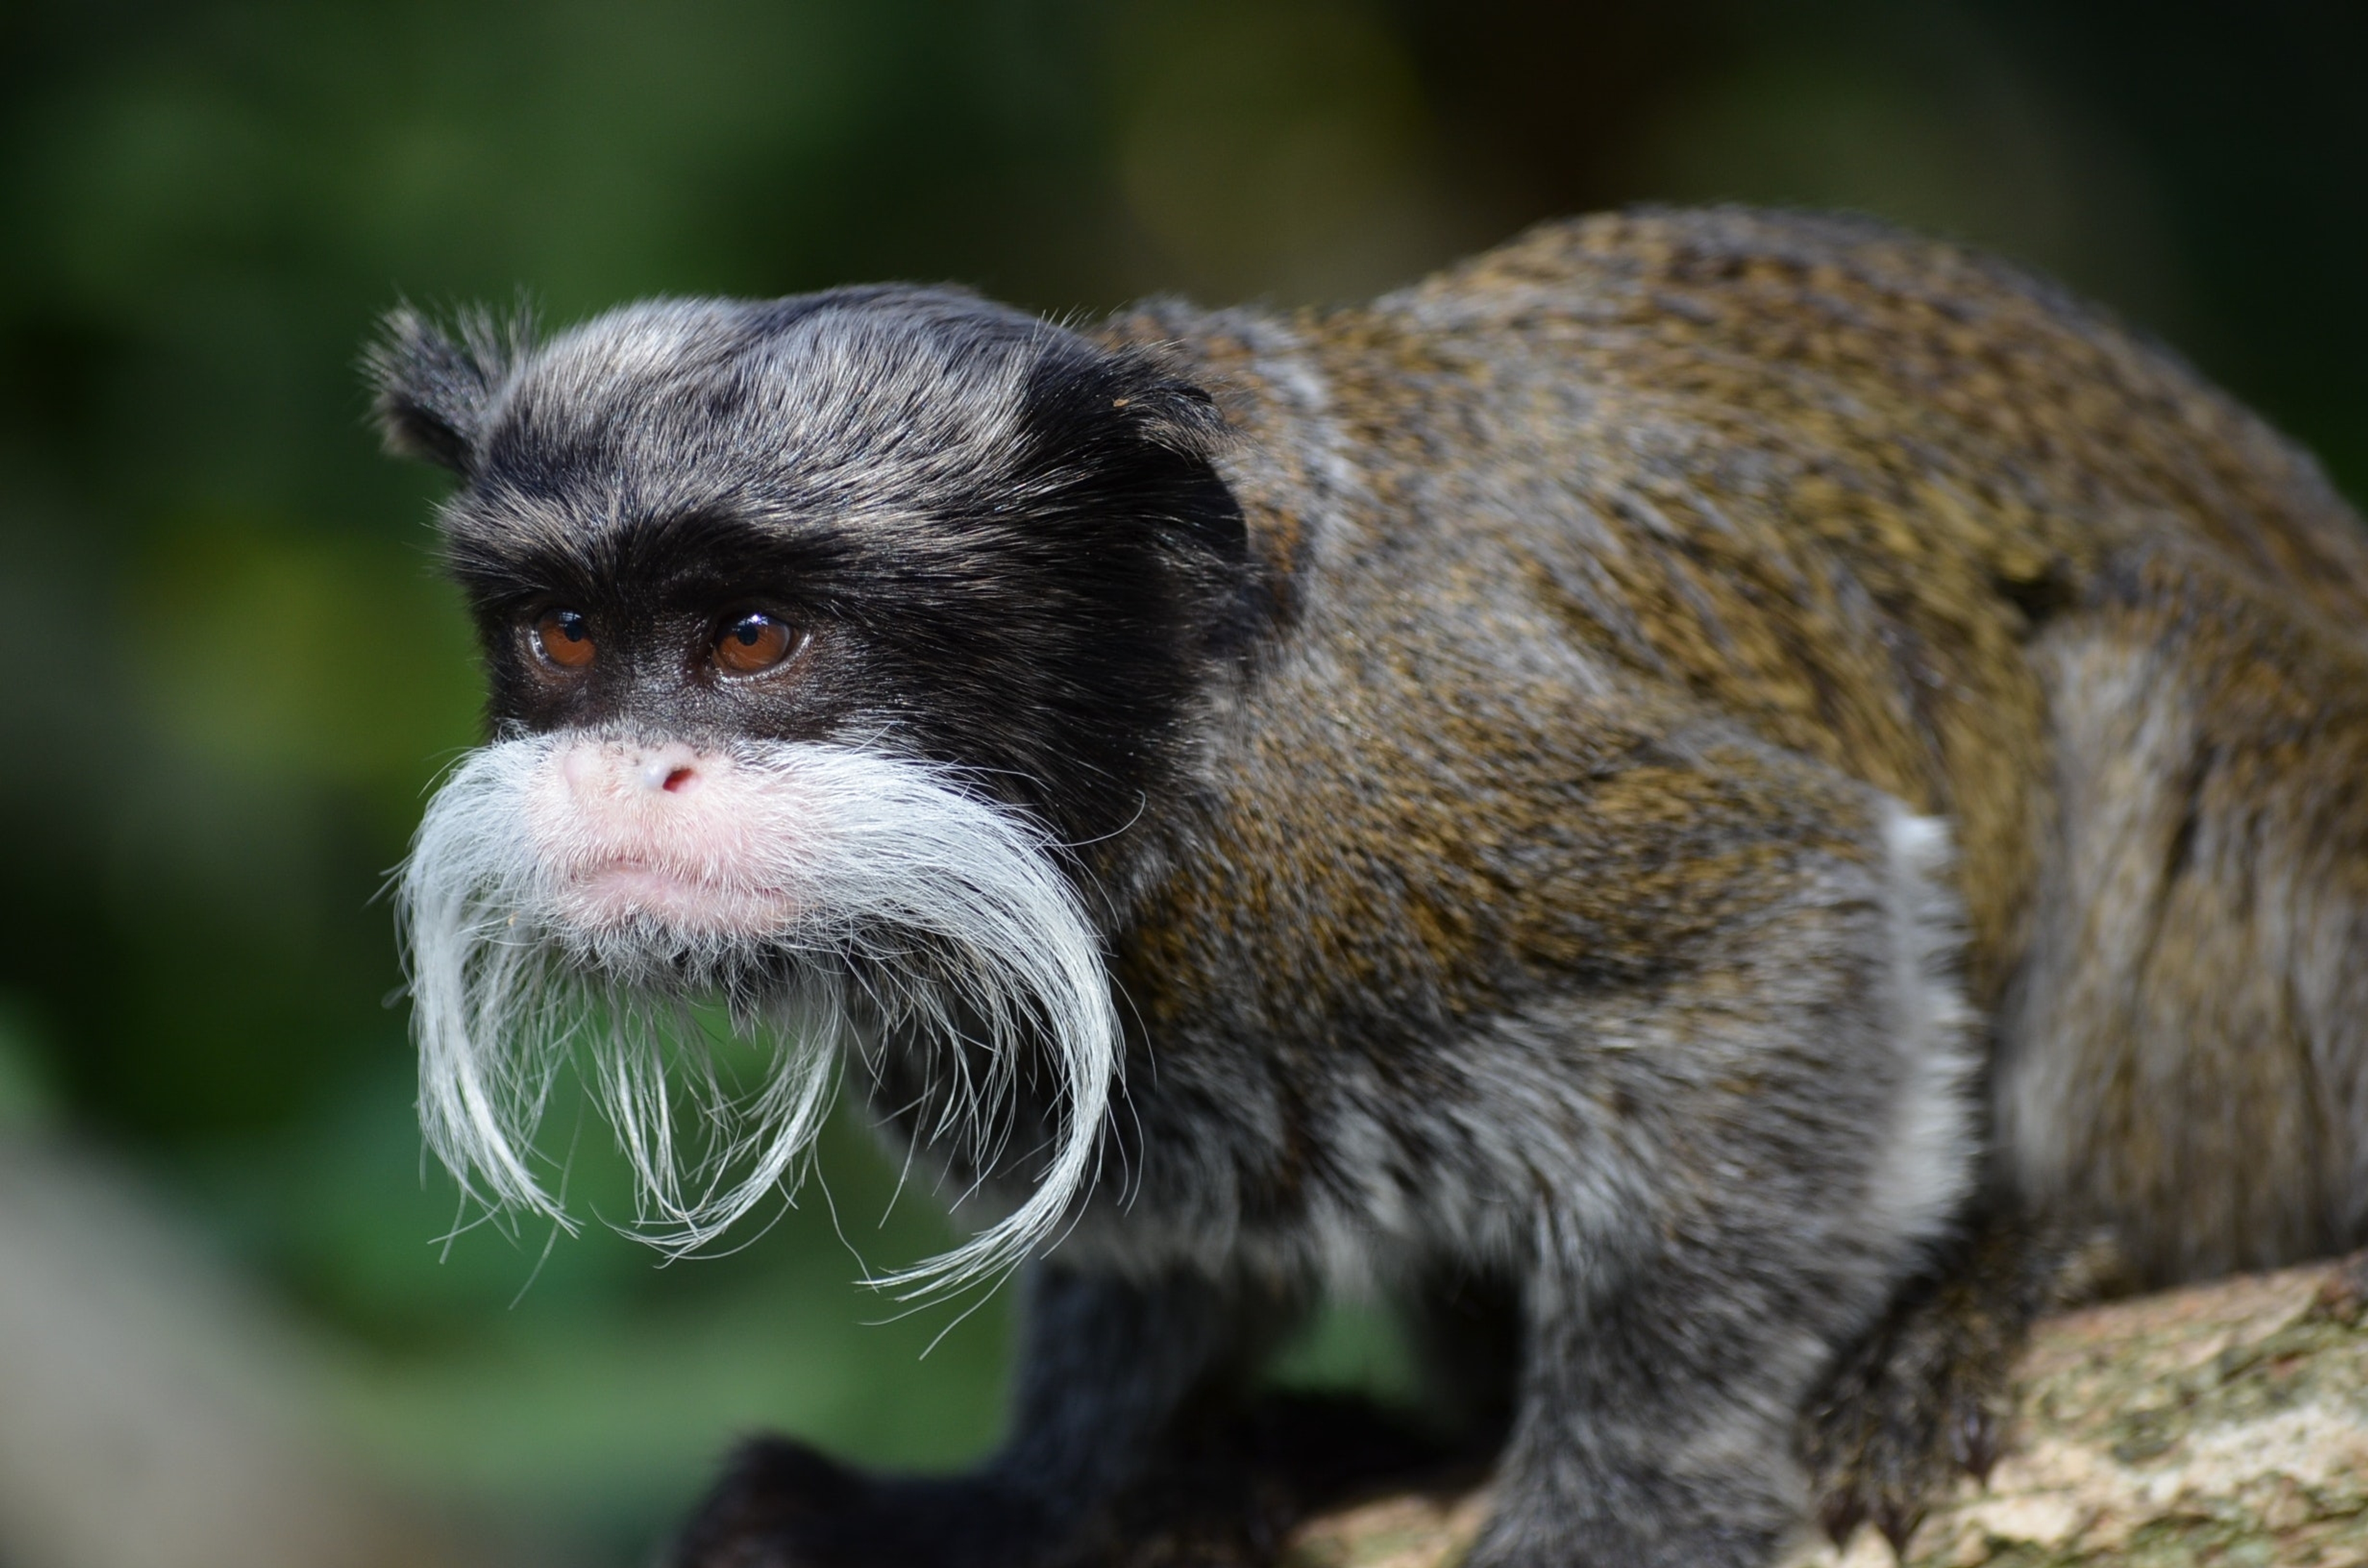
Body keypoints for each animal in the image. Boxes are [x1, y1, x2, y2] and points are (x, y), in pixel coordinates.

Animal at [360, 211, 2368, 1568]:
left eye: (753, 637)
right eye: (564, 637)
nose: (627, 774)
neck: (1178, 724)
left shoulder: (1405, 790)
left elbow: (1791, 920)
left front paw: (1614, 1508)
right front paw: (1025, 1498)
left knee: (2140, 641)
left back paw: (2038, 1258)